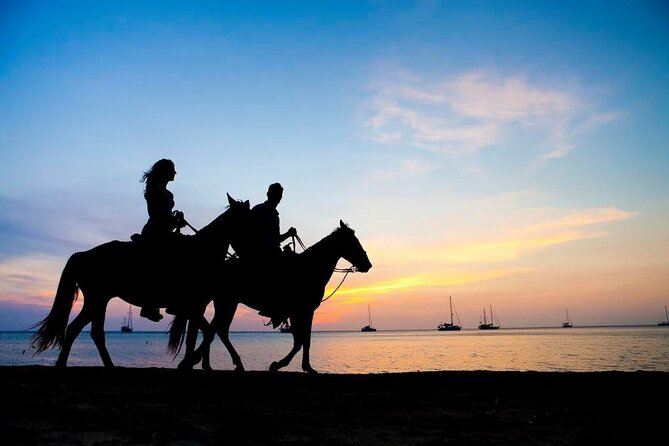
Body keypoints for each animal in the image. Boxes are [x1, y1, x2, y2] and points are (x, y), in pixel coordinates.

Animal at [31, 194, 250, 366]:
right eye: (248, 222)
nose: (246, 255)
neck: (201, 251)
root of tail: (84, 255)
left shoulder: (195, 306)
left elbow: (204, 333)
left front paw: (196, 363)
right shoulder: (194, 305)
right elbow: (205, 333)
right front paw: (191, 362)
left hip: (100, 300)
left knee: (91, 332)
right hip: (96, 299)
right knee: (77, 330)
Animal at [170, 222, 374, 372]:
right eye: (353, 241)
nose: (368, 264)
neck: (310, 268)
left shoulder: (302, 312)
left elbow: (303, 340)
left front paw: (303, 366)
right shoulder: (302, 311)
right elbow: (301, 341)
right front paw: (283, 365)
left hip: (225, 302)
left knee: (217, 330)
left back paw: (221, 363)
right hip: (227, 302)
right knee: (214, 330)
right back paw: (195, 360)